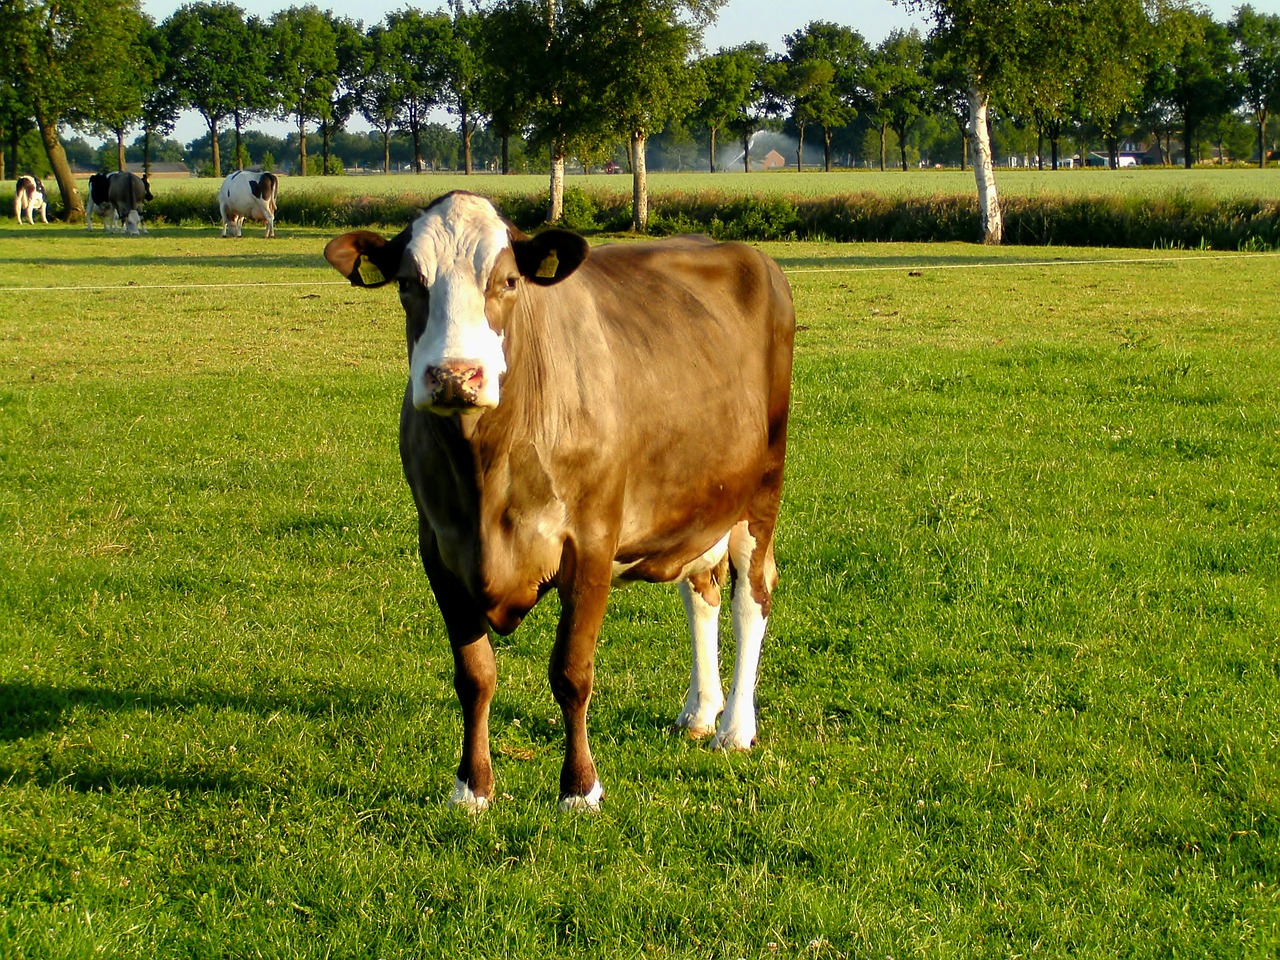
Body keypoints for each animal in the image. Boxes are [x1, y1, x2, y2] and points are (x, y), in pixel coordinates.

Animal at [325, 193, 793, 814]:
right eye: (407, 282)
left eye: (508, 280)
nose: (454, 375)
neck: (486, 472)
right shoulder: (439, 550)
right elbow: (474, 675)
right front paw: (471, 788)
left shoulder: (591, 544)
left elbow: (572, 671)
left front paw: (579, 788)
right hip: (695, 501)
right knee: (701, 592)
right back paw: (699, 710)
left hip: (759, 491)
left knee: (750, 598)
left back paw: (736, 727)